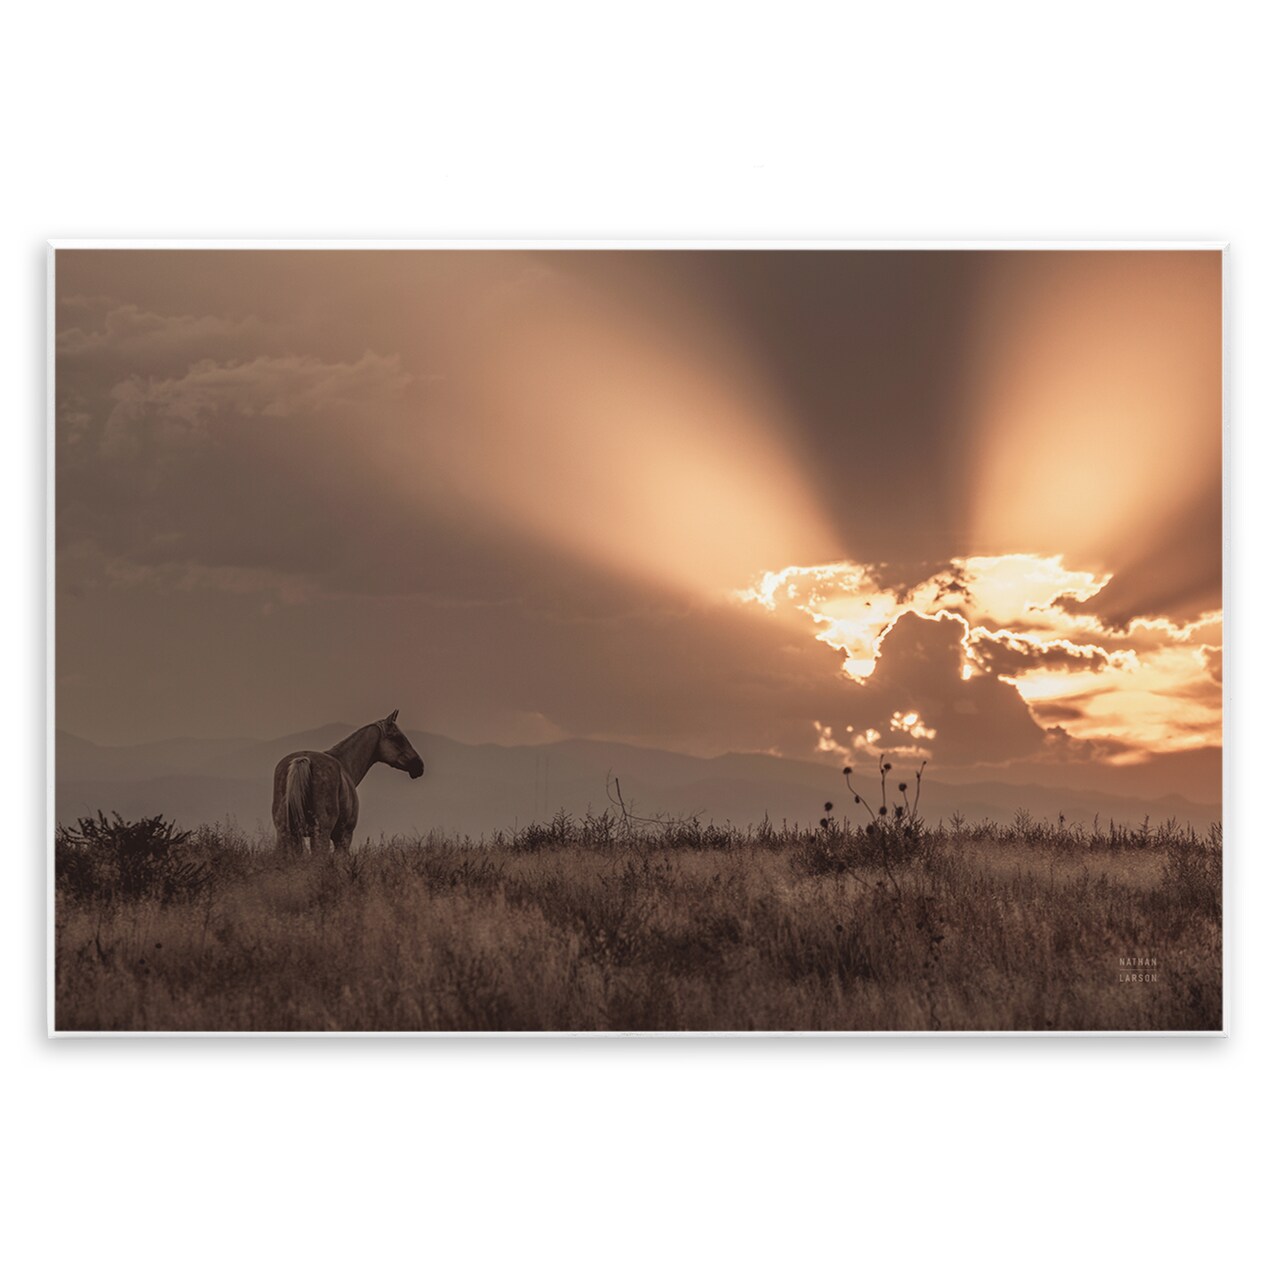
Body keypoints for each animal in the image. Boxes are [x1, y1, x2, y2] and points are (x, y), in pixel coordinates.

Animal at [272, 710, 425, 855]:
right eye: (398, 737)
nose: (419, 765)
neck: (345, 764)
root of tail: (303, 759)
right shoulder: (344, 836)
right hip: (320, 834)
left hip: (286, 834)